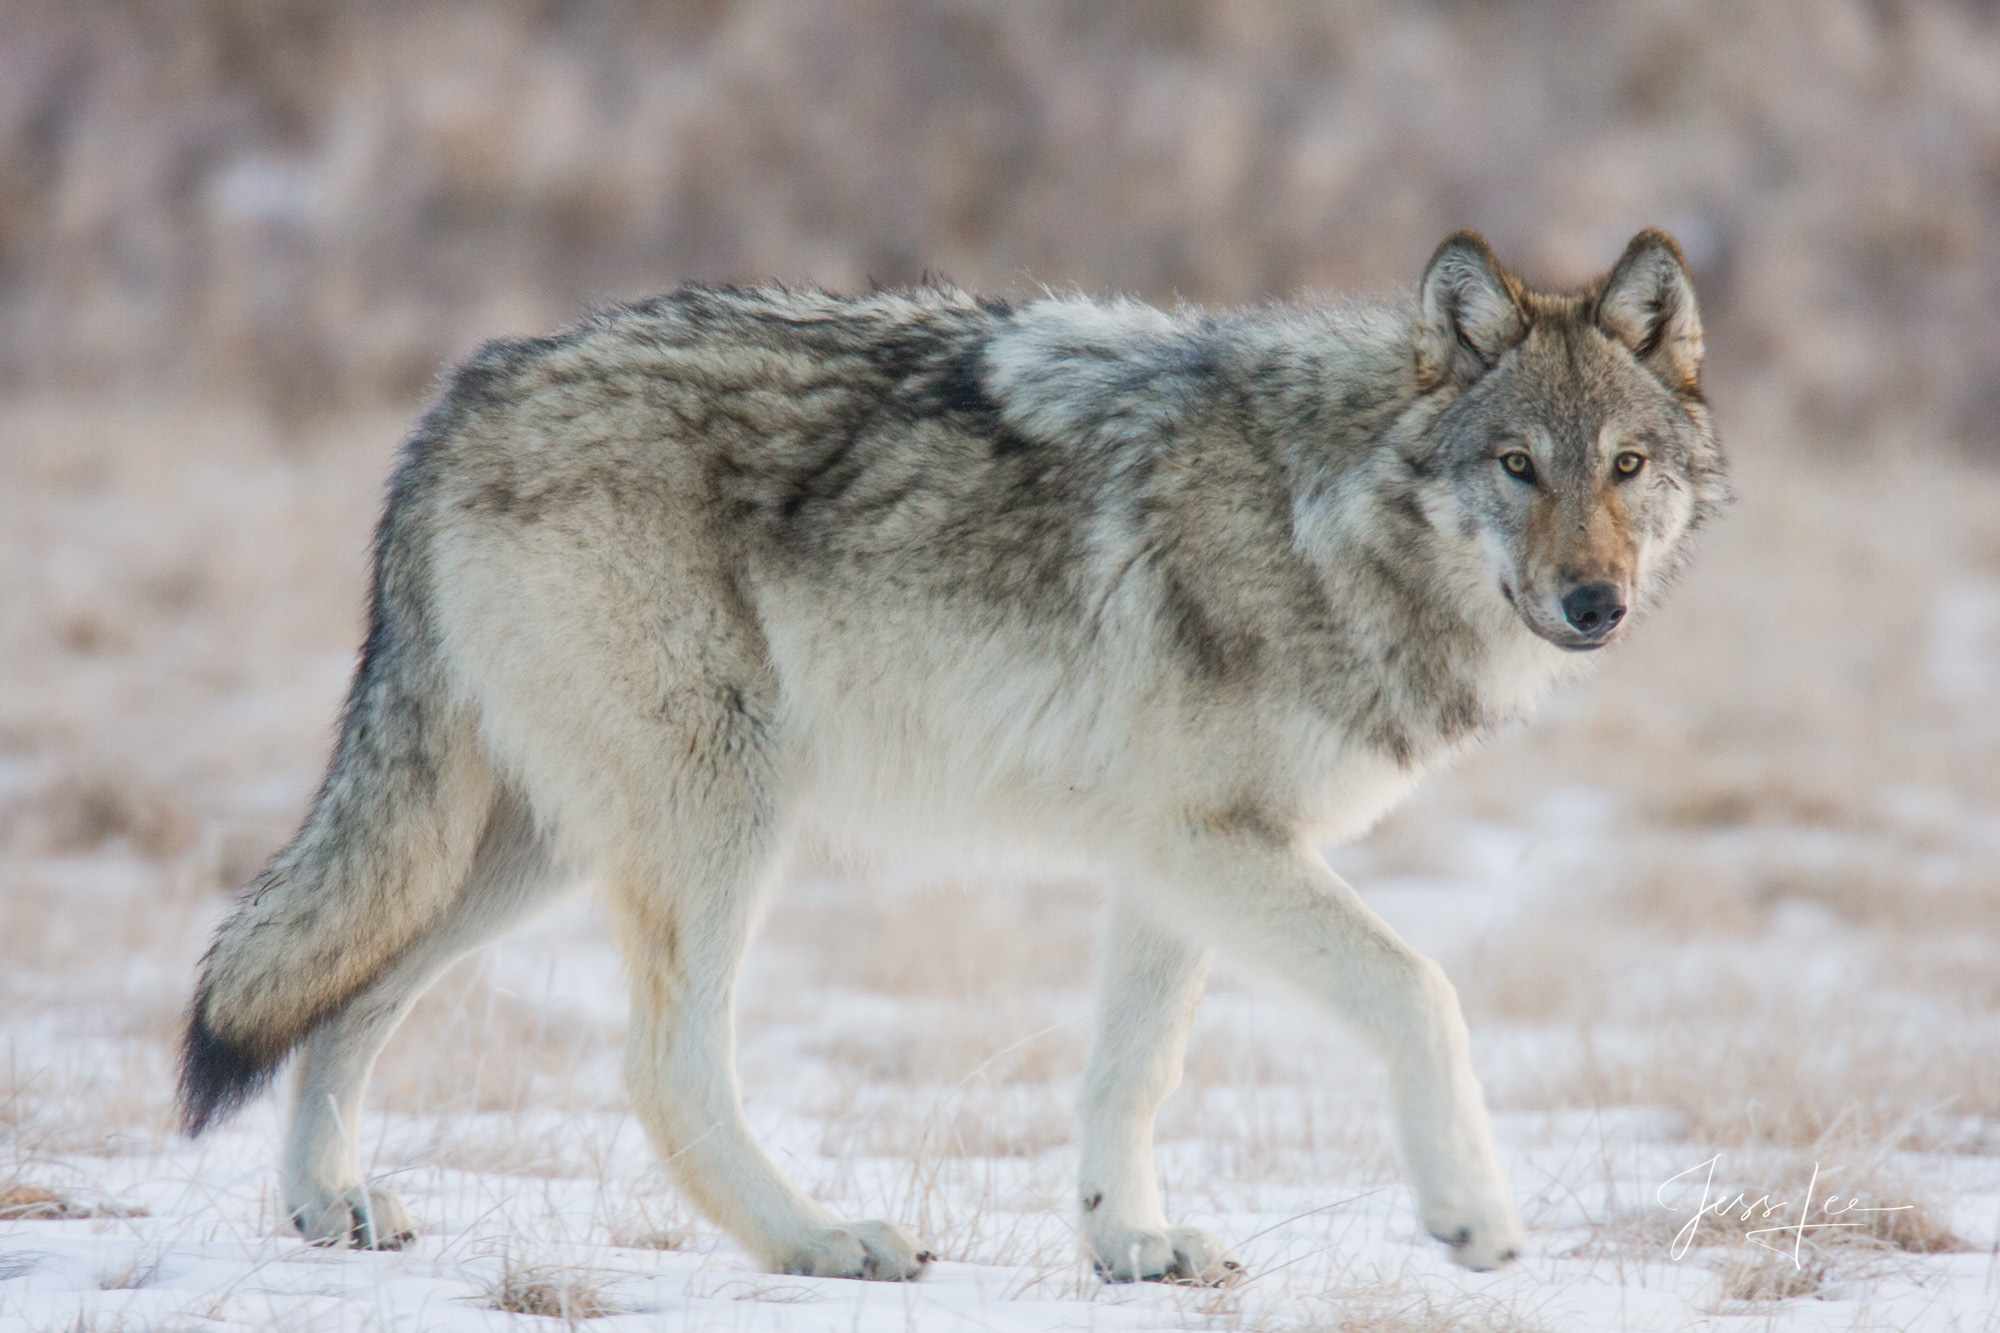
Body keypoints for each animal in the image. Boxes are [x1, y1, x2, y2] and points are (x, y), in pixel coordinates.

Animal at [180, 228, 1728, 1280]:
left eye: (1625, 467)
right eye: (1517, 465)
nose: (1596, 603)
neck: (1324, 510)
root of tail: (468, 392)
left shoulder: (1175, 858)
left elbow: (1131, 1071)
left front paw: (1131, 1244)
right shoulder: (1213, 845)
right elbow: (1423, 996)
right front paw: (1472, 1214)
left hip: (529, 845)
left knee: (349, 995)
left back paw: (328, 1203)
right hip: (715, 820)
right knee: (660, 1066)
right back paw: (816, 1239)